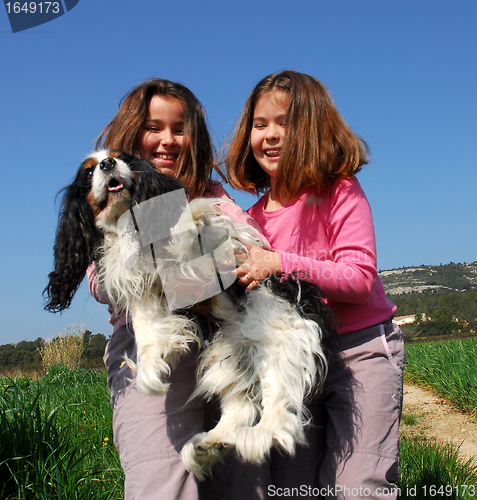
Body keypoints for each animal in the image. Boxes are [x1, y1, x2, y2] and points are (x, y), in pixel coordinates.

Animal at [45, 150, 334, 478]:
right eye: (89, 173)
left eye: (122, 160)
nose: (107, 164)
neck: (128, 224)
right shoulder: (142, 289)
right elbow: (146, 329)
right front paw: (149, 370)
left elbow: (188, 235)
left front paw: (191, 216)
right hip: (230, 356)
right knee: (243, 406)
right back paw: (210, 444)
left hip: (281, 338)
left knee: (280, 404)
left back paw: (260, 434)